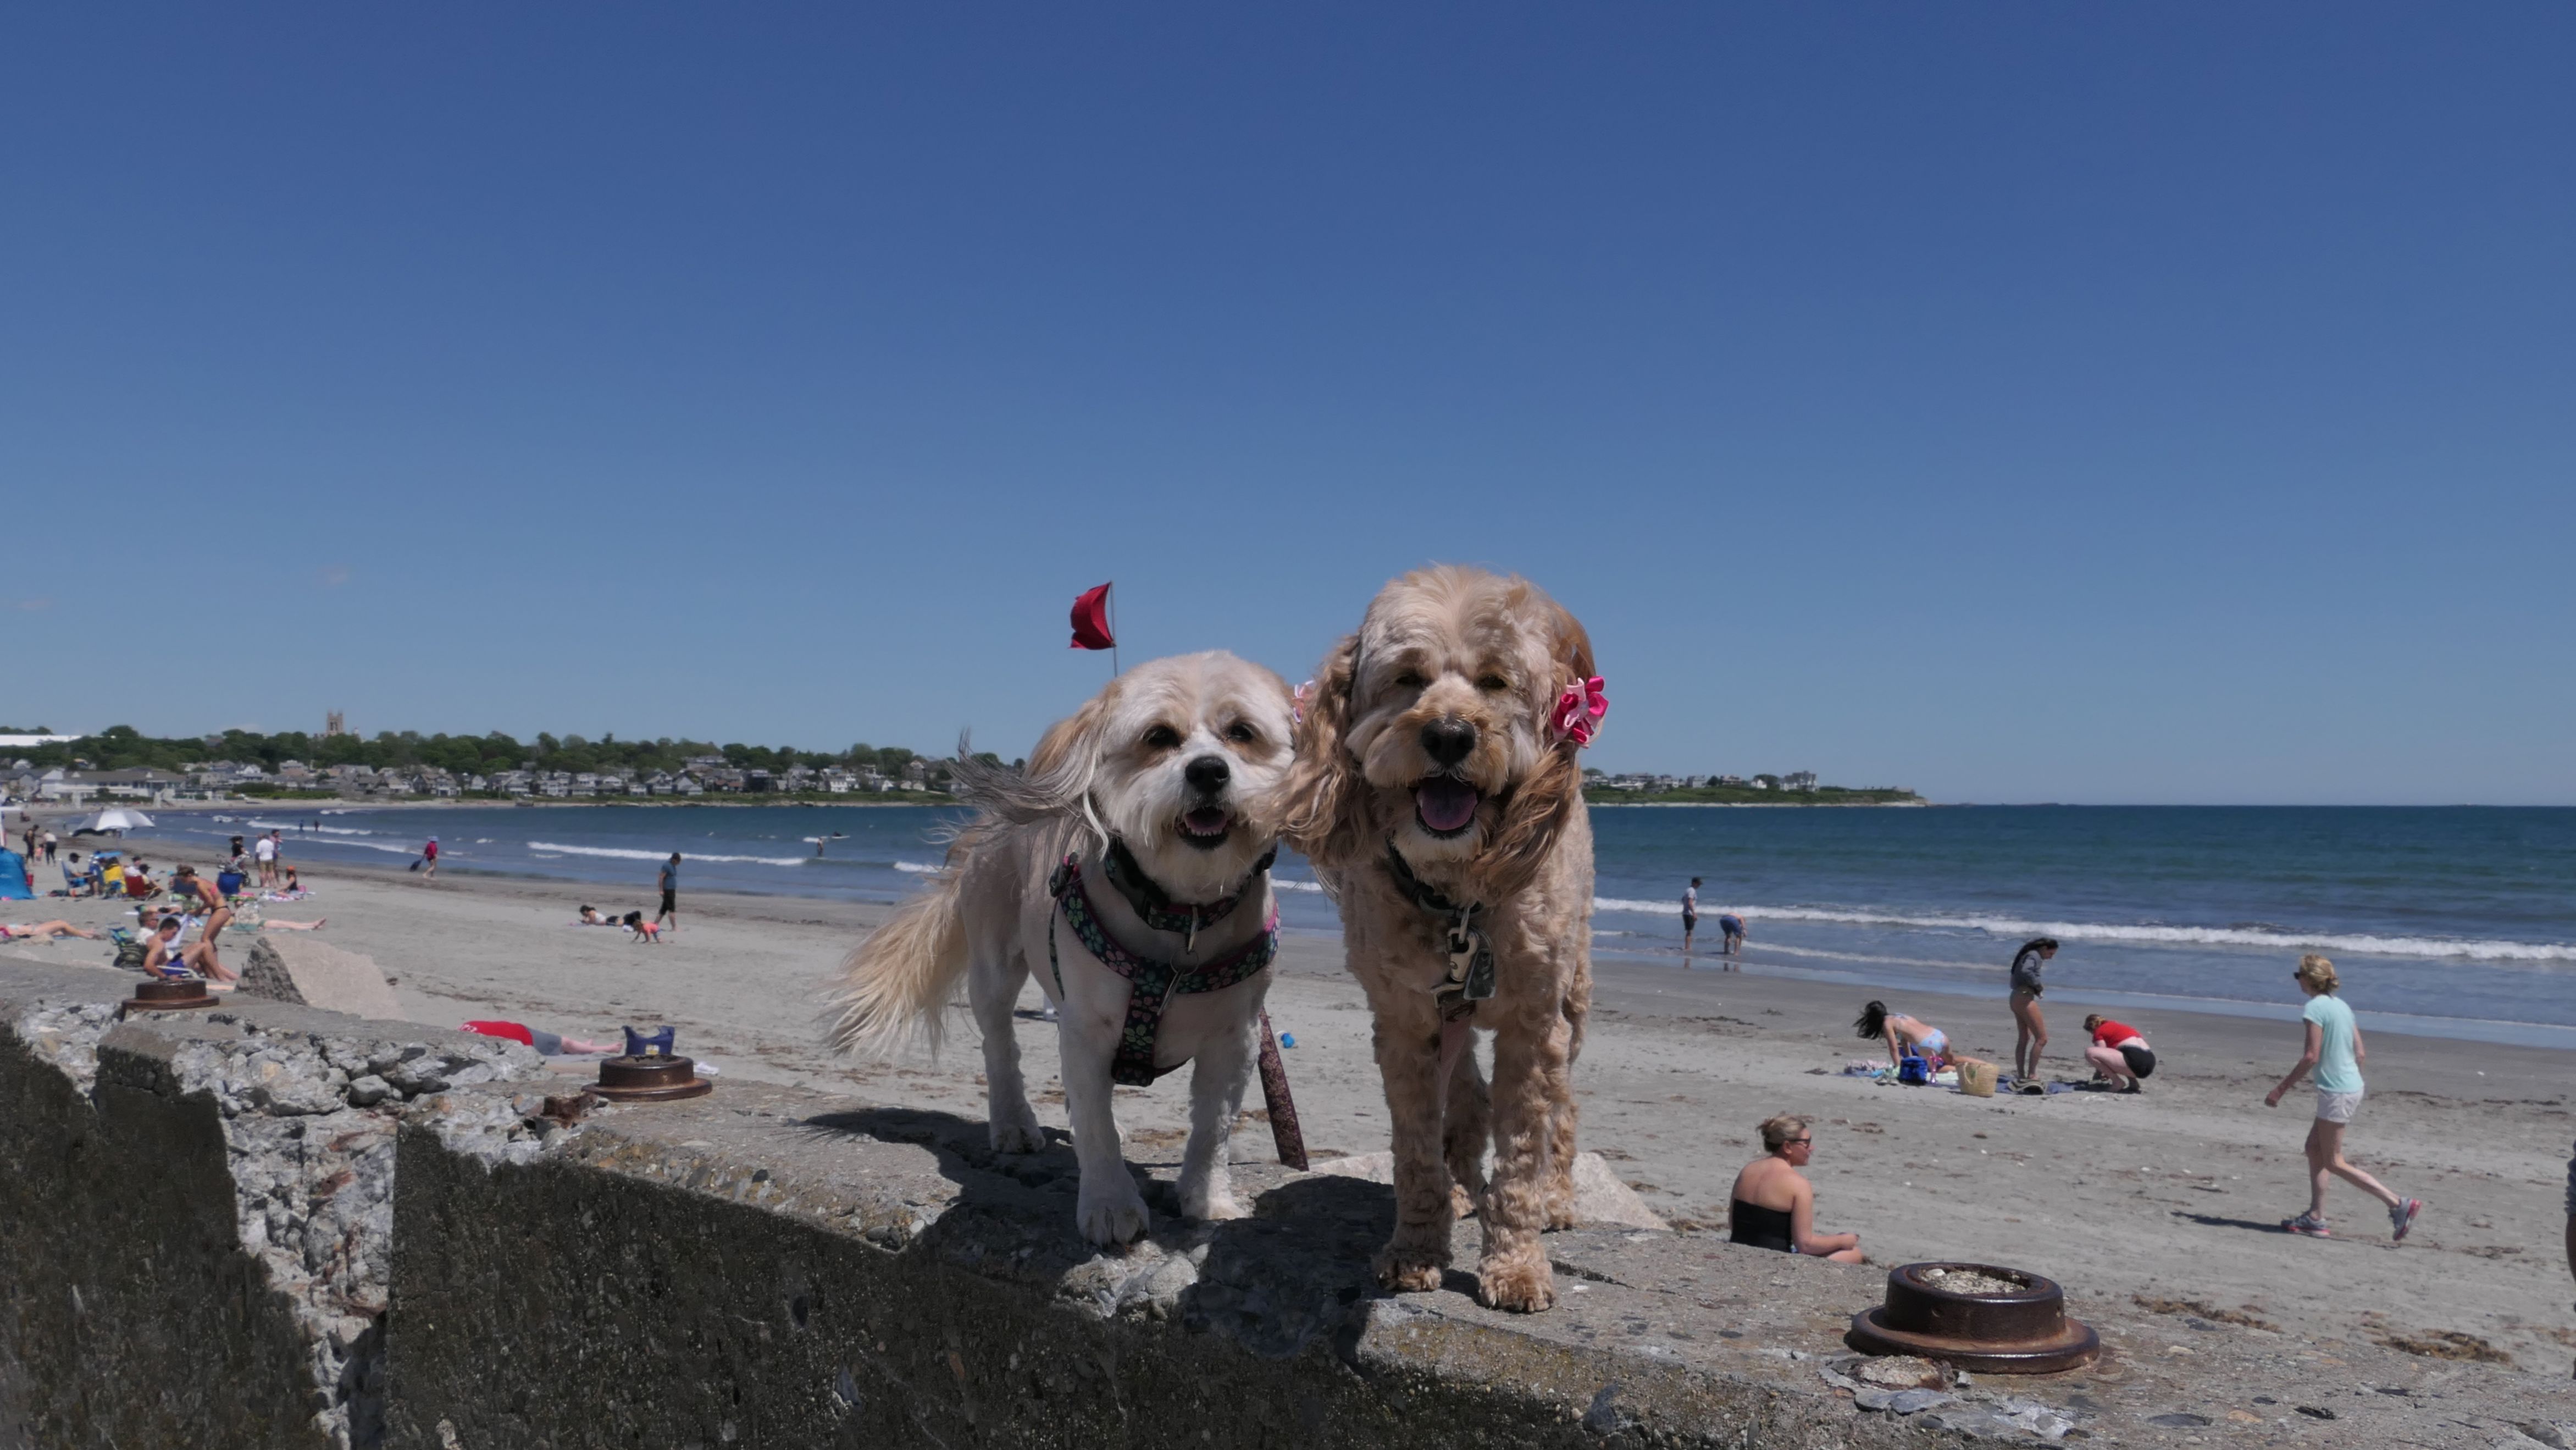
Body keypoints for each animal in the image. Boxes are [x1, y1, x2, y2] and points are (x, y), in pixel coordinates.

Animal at [828, 651, 1298, 1246]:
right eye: (1158, 736)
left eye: (1242, 732)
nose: (1209, 771)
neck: (1182, 912)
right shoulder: (1087, 1027)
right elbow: (1097, 1129)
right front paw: (1109, 1203)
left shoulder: (1236, 1039)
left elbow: (1213, 1127)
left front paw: (1208, 1199)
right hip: (994, 964)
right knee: (1000, 1048)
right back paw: (1013, 1124)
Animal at [1283, 566, 1602, 1312]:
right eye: (1406, 677)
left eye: (1495, 681)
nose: (1451, 735)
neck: (1456, 896)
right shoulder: (1403, 1021)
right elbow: (1415, 1148)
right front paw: (1416, 1248)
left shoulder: (1532, 1025)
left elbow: (1522, 1150)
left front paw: (1516, 1263)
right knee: (1467, 1095)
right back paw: (1461, 1188)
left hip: (1572, 998)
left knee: (1563, 1108)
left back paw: (1557, 1196)